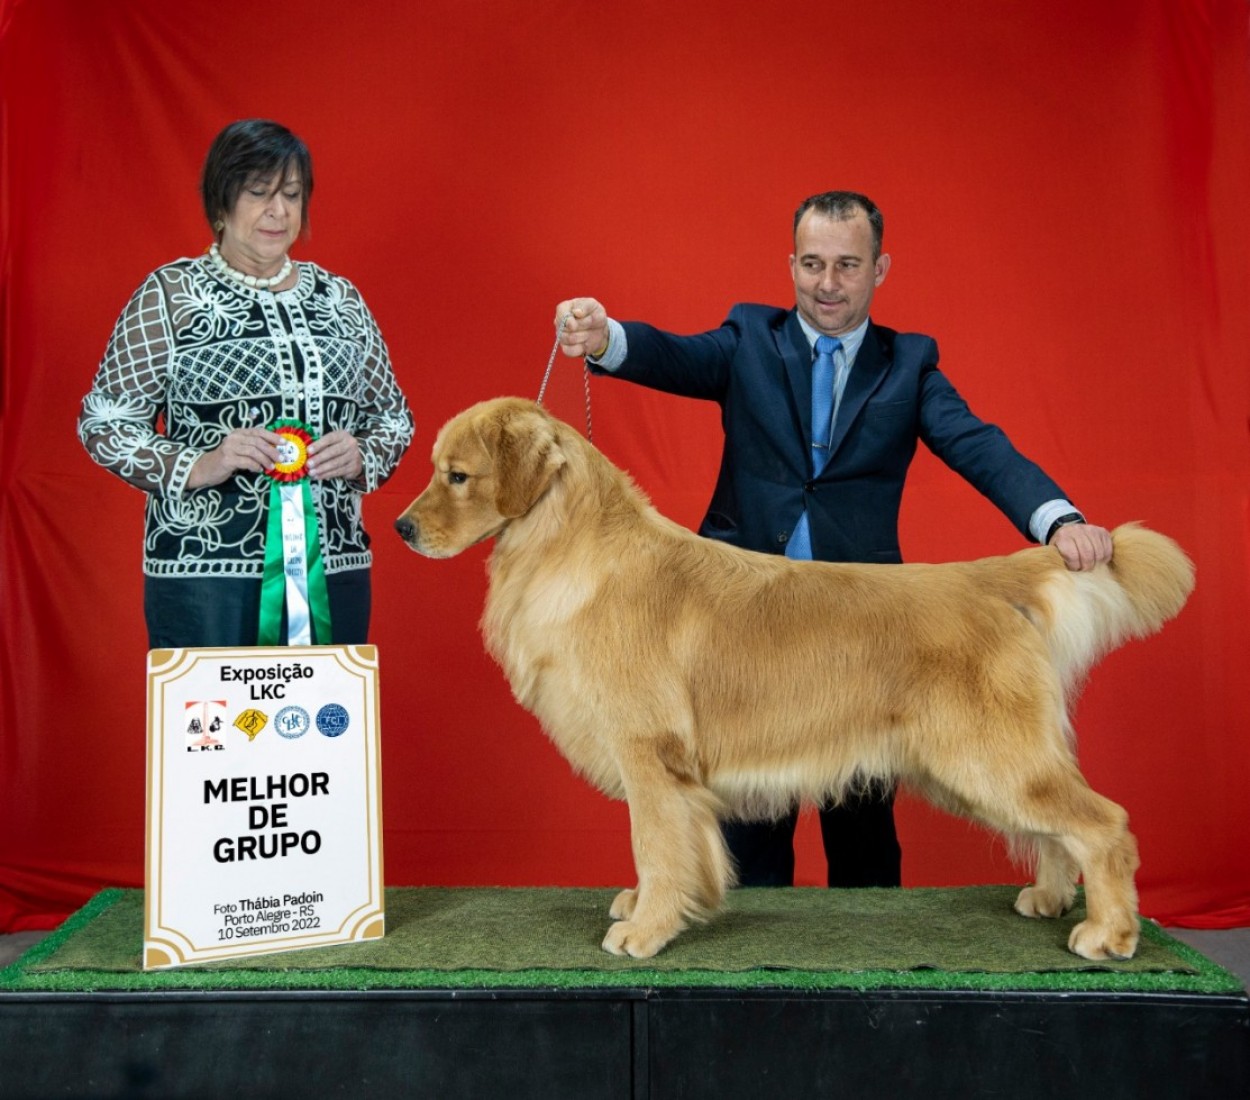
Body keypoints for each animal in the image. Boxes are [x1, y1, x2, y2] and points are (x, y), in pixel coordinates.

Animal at [395, 400, 1195, 960]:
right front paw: (667, 906)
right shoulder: (672, 772)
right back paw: (1052, 899)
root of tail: (986, 579)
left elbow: (655, 844)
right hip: (980, 766)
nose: (401, 528)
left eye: (456, 475)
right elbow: (678, 848)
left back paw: (1109, 934)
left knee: (1103, 825)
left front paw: (647, 929)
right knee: (1059, 832)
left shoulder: (648, 754)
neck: (572, 548)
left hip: (990, 759)